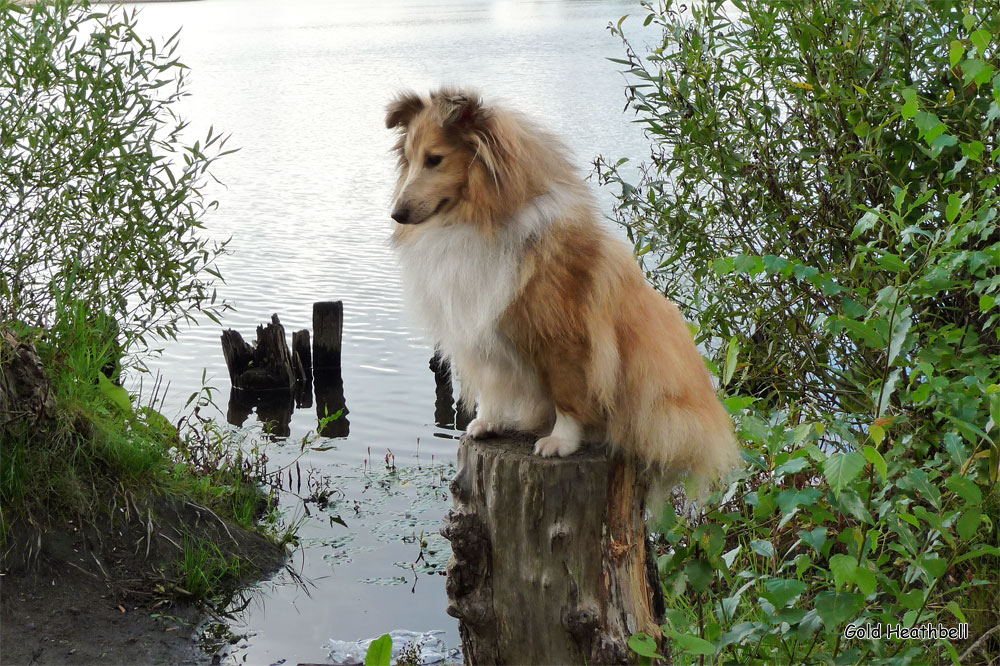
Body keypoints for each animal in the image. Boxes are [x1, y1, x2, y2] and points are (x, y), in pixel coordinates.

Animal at [382, 87, 736, 482]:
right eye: (409, 159)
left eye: (435, 159)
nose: (397, 214)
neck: (474, 221)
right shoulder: (484, 330)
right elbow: (491, 386)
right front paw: (488, 423)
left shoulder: (564, 338)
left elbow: (567, 395)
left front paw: (560, 442)